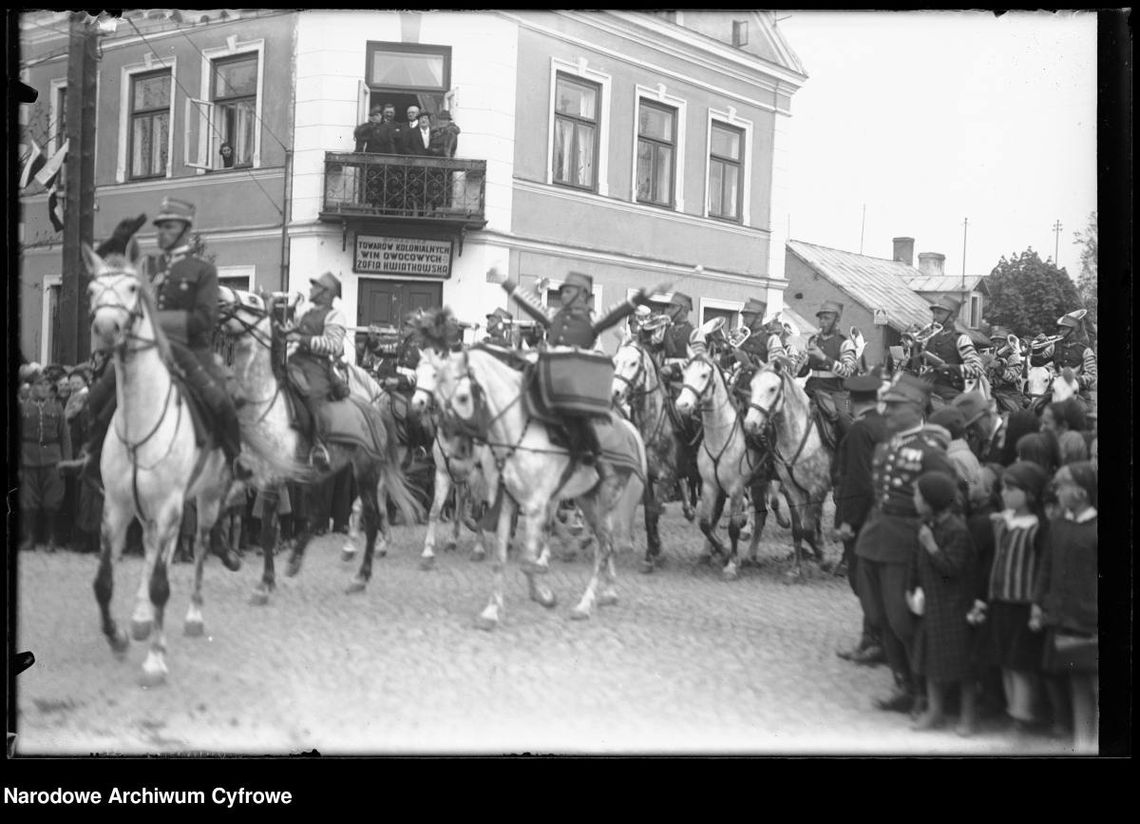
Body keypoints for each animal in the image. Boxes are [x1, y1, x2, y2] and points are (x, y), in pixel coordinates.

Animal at [412, 344, 647, 629]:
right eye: (419, 375)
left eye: (464, 397)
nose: (454, 443)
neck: (516, 433)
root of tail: (626, 427)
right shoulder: (486, 491)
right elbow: (494, 550)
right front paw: (491, 610)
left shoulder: (529, 502)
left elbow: (523, 555)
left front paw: (542, 593)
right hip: (587, 499)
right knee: (605, 542)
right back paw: (609, 591)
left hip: (604, 499)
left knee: (602, 546)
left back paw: (584, 603)